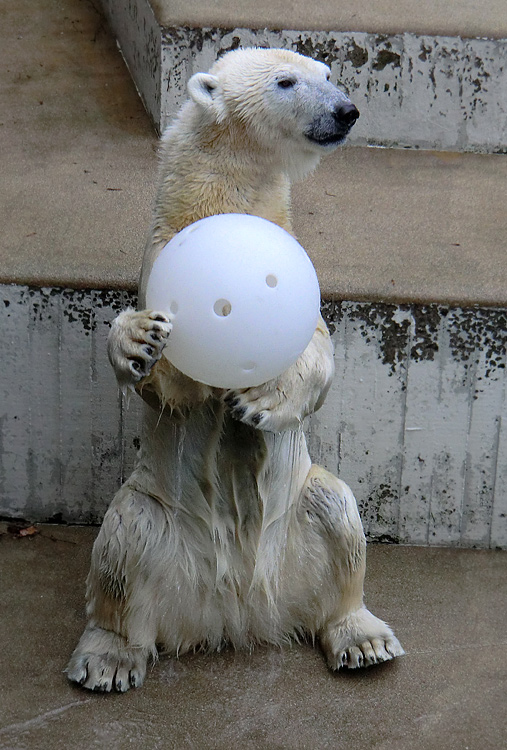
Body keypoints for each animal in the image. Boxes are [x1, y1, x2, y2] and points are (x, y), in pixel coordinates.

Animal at [66, 47, 404, 692]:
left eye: (328, 73)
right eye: (286, 81)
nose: (345, 110)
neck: (222, 203)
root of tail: (236, 611)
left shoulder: (299, 262)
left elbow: (317, 354)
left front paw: (259, 403)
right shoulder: (159, 257)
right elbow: (170, 388)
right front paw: (137, 340)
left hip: (300, 508)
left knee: (338, 517)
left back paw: (362, 637)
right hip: (157, 513)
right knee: (123, 543)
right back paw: (108, 658)